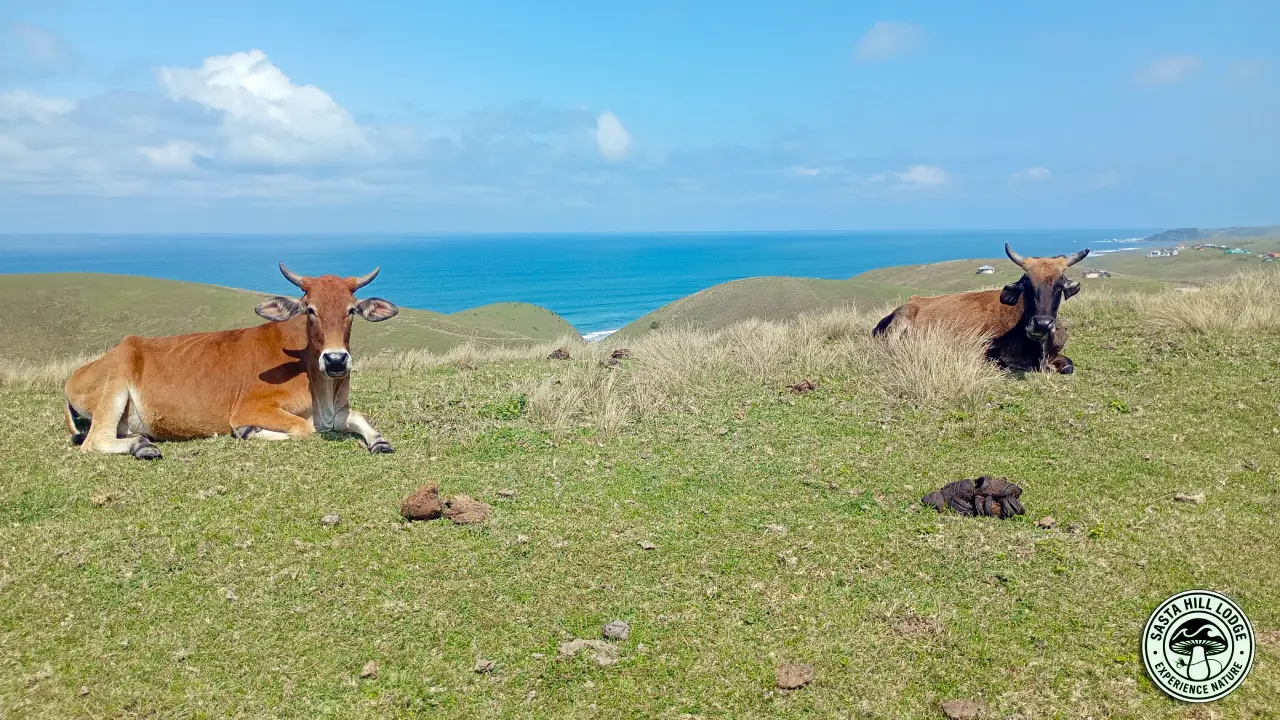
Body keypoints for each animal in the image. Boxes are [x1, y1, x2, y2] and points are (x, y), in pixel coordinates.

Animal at [64, 263, 400, 459]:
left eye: (351, 309)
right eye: (310, 309)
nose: (335, 360)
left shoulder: (337, 412)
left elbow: (359, 417)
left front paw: (379, 441)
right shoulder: (251, 407)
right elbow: (305, 428)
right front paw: (248, 431)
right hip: (116, 384)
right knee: (95, 440)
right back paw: (141, 446)